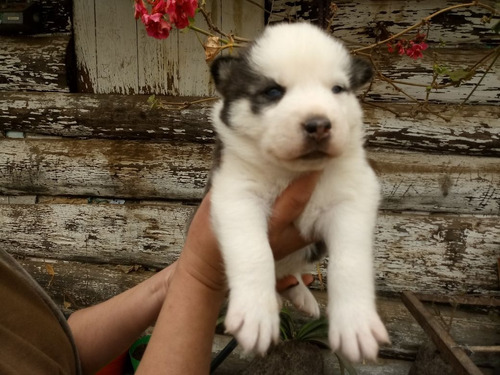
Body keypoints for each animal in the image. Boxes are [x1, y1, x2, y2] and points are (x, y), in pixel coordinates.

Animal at [209, 22, 388, 362]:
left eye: (337, 89)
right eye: (273, 92)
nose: (319, 125)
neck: (294, 172)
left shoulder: (353, 197)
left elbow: (350, 262)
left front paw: (355, 322)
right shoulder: (236, 193)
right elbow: (254, 252)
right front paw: (255, 313)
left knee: (289, 275)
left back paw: (302, 297)